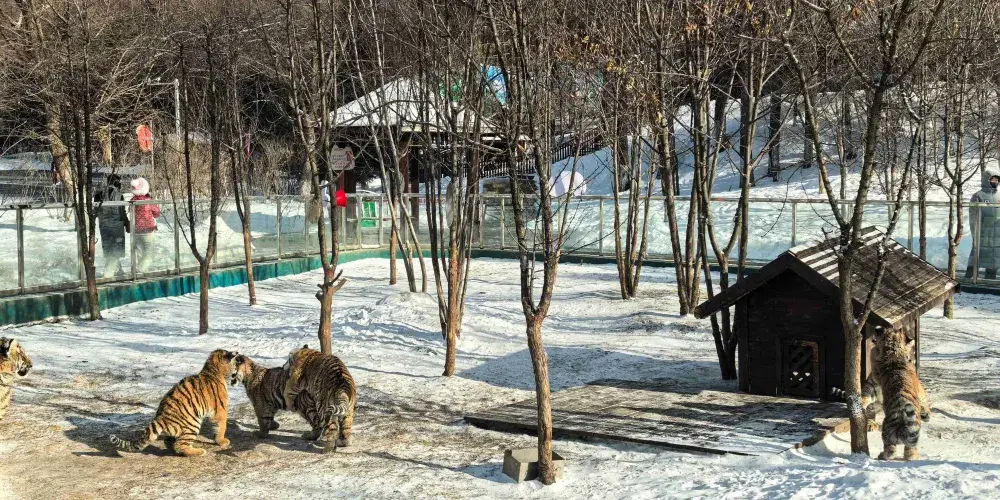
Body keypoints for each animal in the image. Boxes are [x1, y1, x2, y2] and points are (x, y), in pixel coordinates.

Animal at [110, 349, 242, 457]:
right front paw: (222, 441)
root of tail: (161, 417)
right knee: (180, 445)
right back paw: (199, 452)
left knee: (170, 442)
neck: (212, 370)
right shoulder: (220, 410)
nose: (237, 369)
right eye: (235, 364)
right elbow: (222, 426)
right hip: (193, 423)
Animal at [870, 327, 930, 461]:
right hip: (910, 437)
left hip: (888, 435)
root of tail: (903, 416)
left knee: (891, 452)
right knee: (908, 452)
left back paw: (881, 455)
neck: (894, 351)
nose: (876, 329)